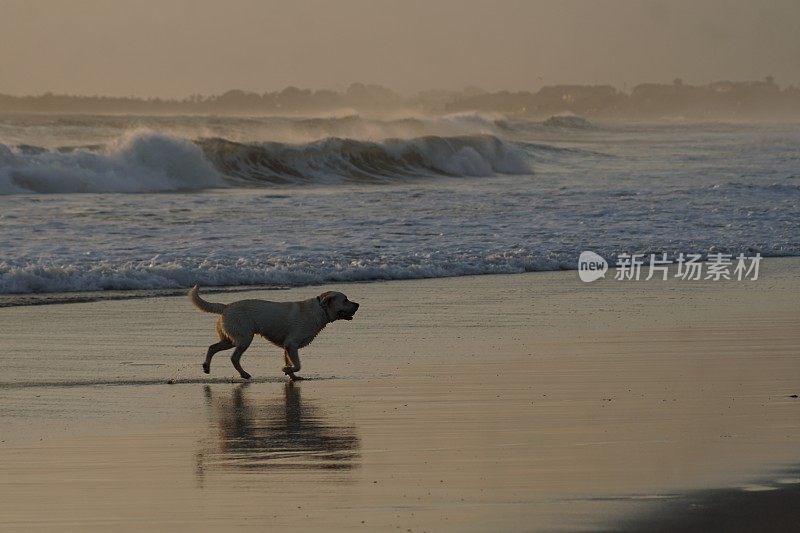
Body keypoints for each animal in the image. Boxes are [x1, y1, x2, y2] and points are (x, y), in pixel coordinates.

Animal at [189, 286, 358, 378]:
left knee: (212, 347)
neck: (321, 310)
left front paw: (292, 376)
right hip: (244, 338)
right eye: (345, 300)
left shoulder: (287, 347)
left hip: (230, 339)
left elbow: (290, 362)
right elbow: (297, 364)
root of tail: (226, 307)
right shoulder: (291, 344)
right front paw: (287, 370)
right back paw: (244, 374)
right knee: (234, 357)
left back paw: (206, 367)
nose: (358, 304)